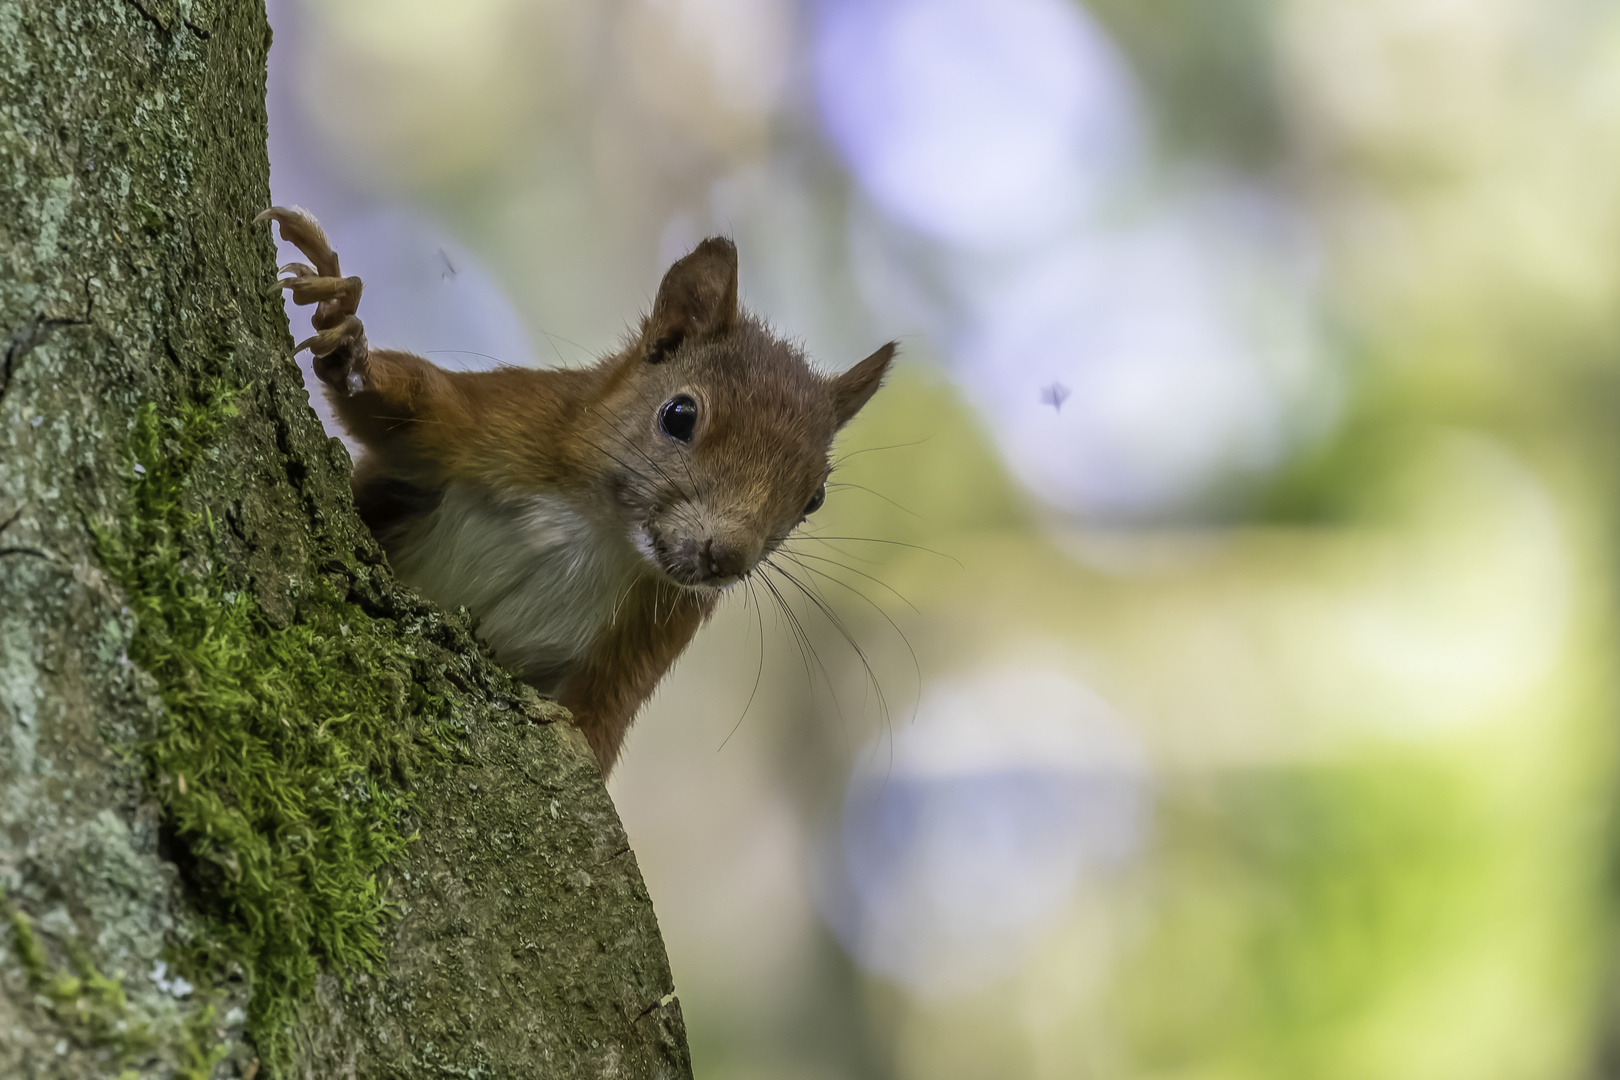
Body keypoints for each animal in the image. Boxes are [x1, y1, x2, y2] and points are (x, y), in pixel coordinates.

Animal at [265, 204, 900, 777]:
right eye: (679, 414)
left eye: (814, 497)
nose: (727, 558)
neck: (597, 527)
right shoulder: (506, 420)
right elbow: (401, 407)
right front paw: (343, 330)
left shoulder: (654, 629)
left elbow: (598, 725)